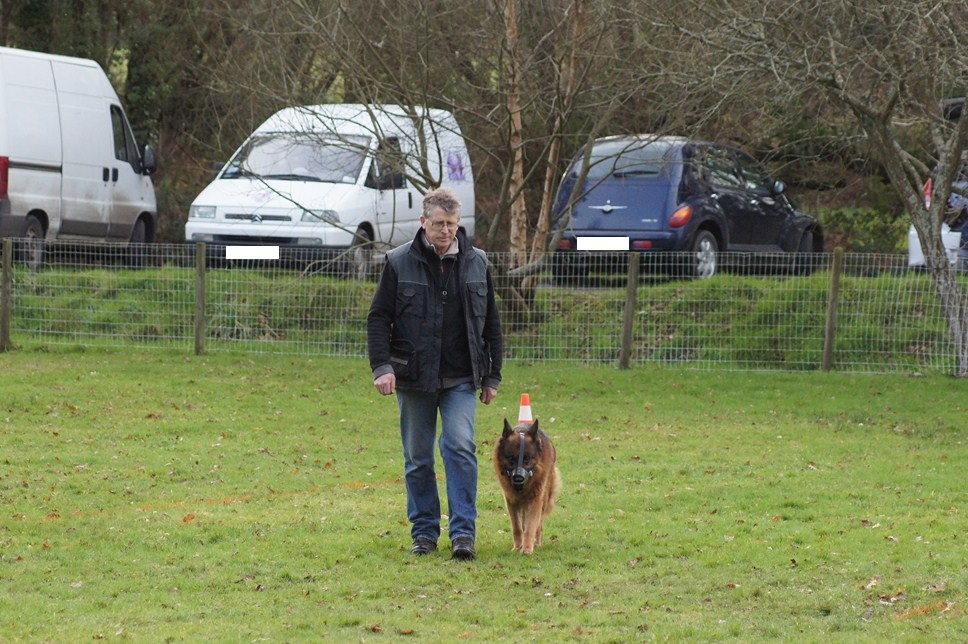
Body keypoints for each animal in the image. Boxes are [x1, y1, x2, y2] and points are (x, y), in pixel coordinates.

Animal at [496, 418, 564, 552]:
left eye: (527, 458)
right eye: (511, 458)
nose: (518, 478)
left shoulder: (535, 500)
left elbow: (531, 525)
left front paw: (527, 548)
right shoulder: (511, 501)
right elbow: (517, 527)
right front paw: (518, 546)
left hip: (543, 499)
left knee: (539, 524)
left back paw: (536, 542)